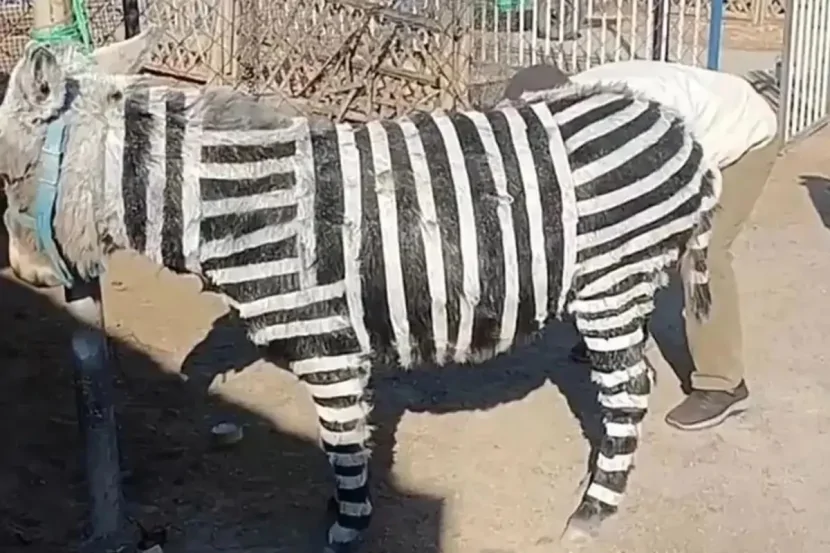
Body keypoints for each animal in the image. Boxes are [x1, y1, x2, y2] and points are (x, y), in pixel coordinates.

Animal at [0, 42, 719, 552]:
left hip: (611, 284)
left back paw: (594, 508)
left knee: (628, 390)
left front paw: (347, 526)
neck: (247, 205)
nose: (27, 277)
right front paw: (345, 510)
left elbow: (341, 443)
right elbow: (350, 441)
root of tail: (674, 126)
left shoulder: (331, 350)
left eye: (8, 174)